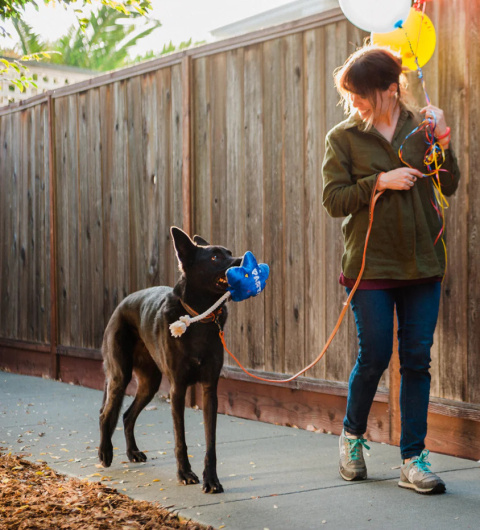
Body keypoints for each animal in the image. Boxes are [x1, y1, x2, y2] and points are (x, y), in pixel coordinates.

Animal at [98, 224, 242, 490]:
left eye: (228, 252)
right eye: (215, 257)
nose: (243, 260)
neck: (198, 317)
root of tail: (119, 306)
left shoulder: (210, 391)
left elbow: (211, 442)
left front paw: (211, 479)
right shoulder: (178, 390)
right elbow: (180, 439)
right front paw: (184, 473)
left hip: (150, 383)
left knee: (127, 415)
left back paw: (132, 452)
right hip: (119, 376)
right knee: (106, 414)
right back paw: (105, 453)